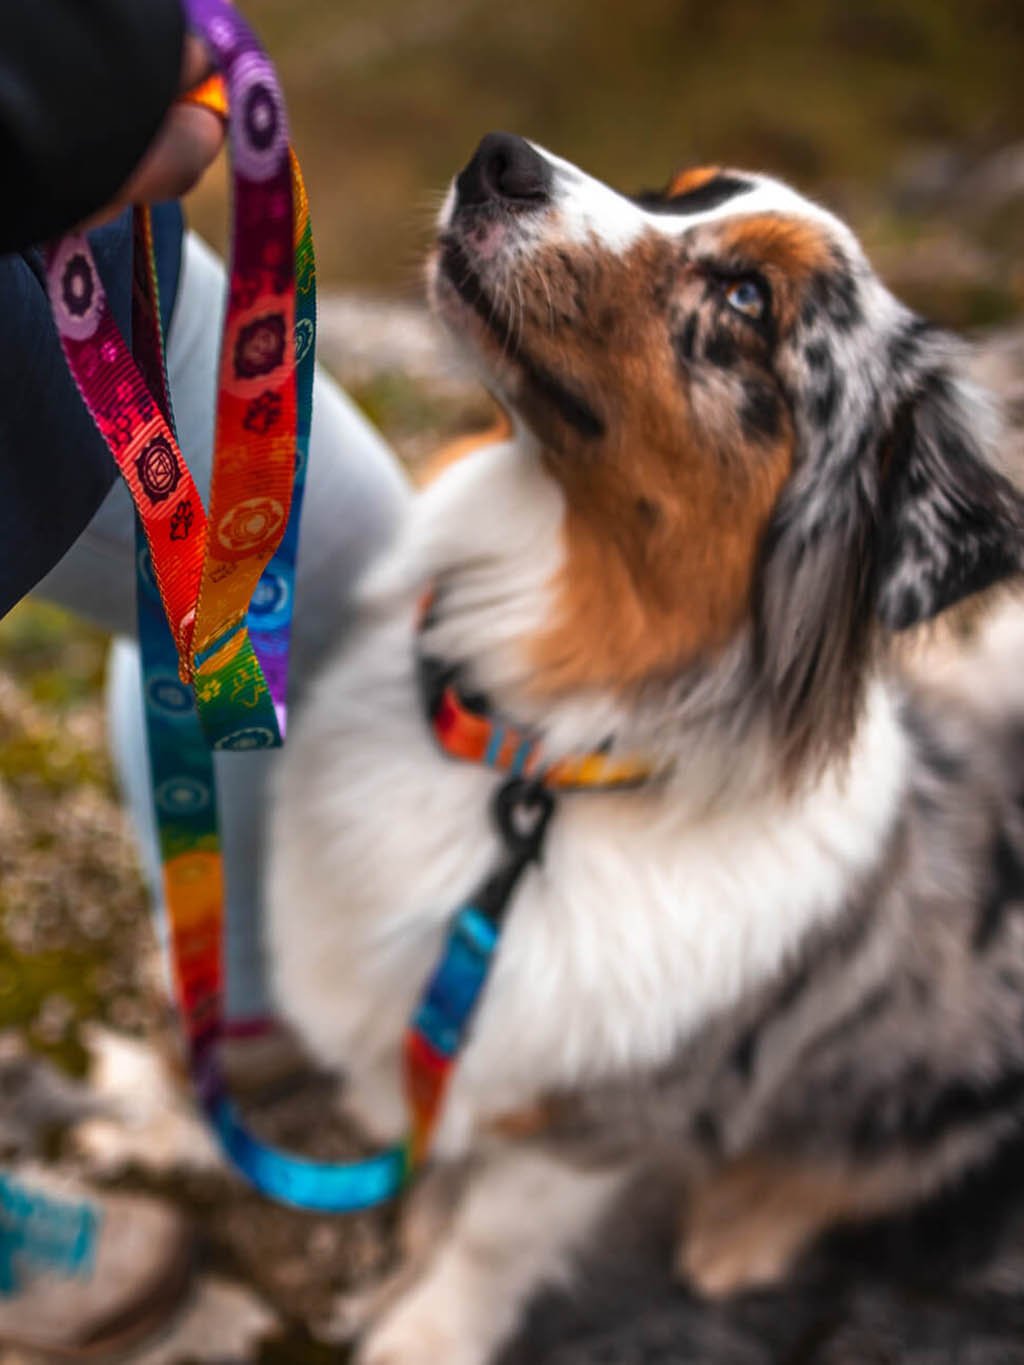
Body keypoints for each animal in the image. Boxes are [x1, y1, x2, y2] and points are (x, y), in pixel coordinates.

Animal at [268, 130, 1024, 1365]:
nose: (498, 160)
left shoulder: (590, 1117)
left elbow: (488, 1242)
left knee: (851, 1174)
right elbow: (440, 1184)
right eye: (673, 193)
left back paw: (737, 1234)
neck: (529, 761)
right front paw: (404, 1257)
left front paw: (424, 1331)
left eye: (746, 297)